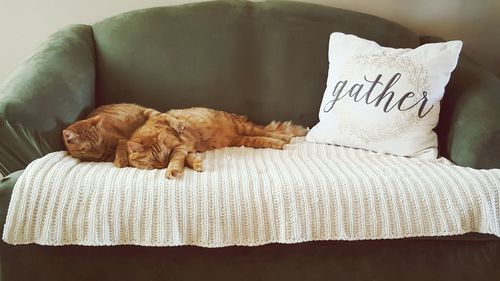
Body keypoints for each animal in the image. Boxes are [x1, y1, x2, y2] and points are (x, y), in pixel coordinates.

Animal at [127, 106, 306, 178]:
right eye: (154, 159)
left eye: (164, 155)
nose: (163, 164)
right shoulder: (186, 149)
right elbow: (189, 160)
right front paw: (197, 164)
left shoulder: (179, 147)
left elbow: (177, 160)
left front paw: (171, 170)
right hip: (243, 139)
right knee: (262, 139)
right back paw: (279, 142)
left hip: (246, 128)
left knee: (267, 132)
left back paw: (284, 139)